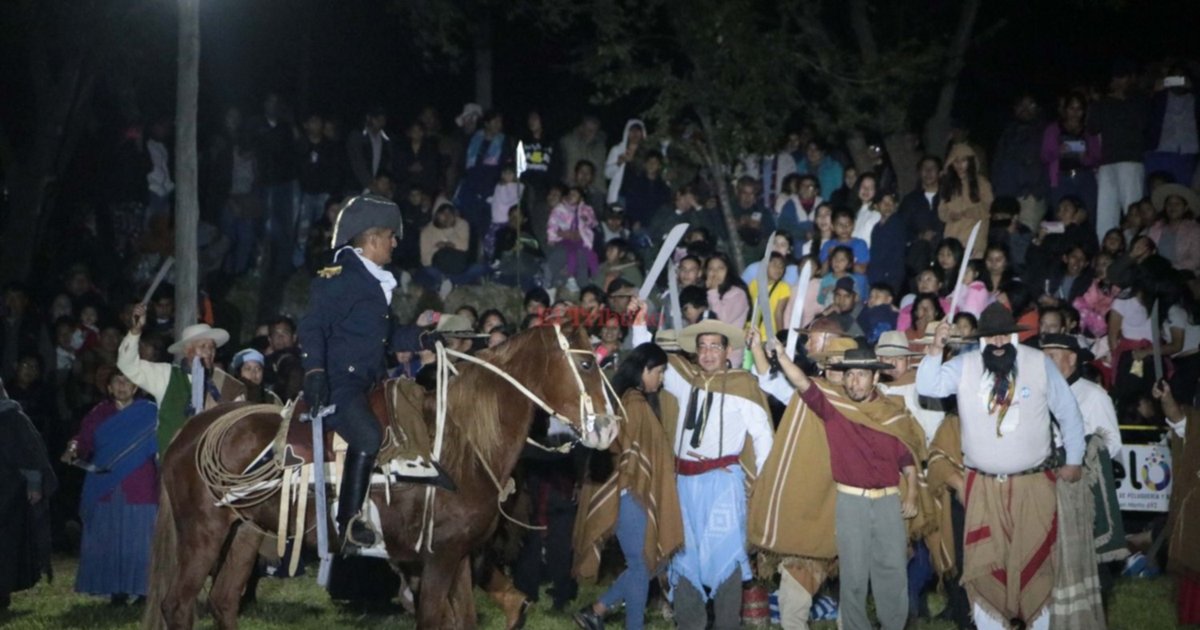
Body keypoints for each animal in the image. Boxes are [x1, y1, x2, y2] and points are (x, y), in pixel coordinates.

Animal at [142, 324, 619, 628]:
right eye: (587, 366)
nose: (609, 427)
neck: (461, 446)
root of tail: (193, 429)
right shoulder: (436, 561)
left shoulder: (460, 556)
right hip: (204, 531)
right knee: (179, 605)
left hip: (245, 533)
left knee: (223, 602)